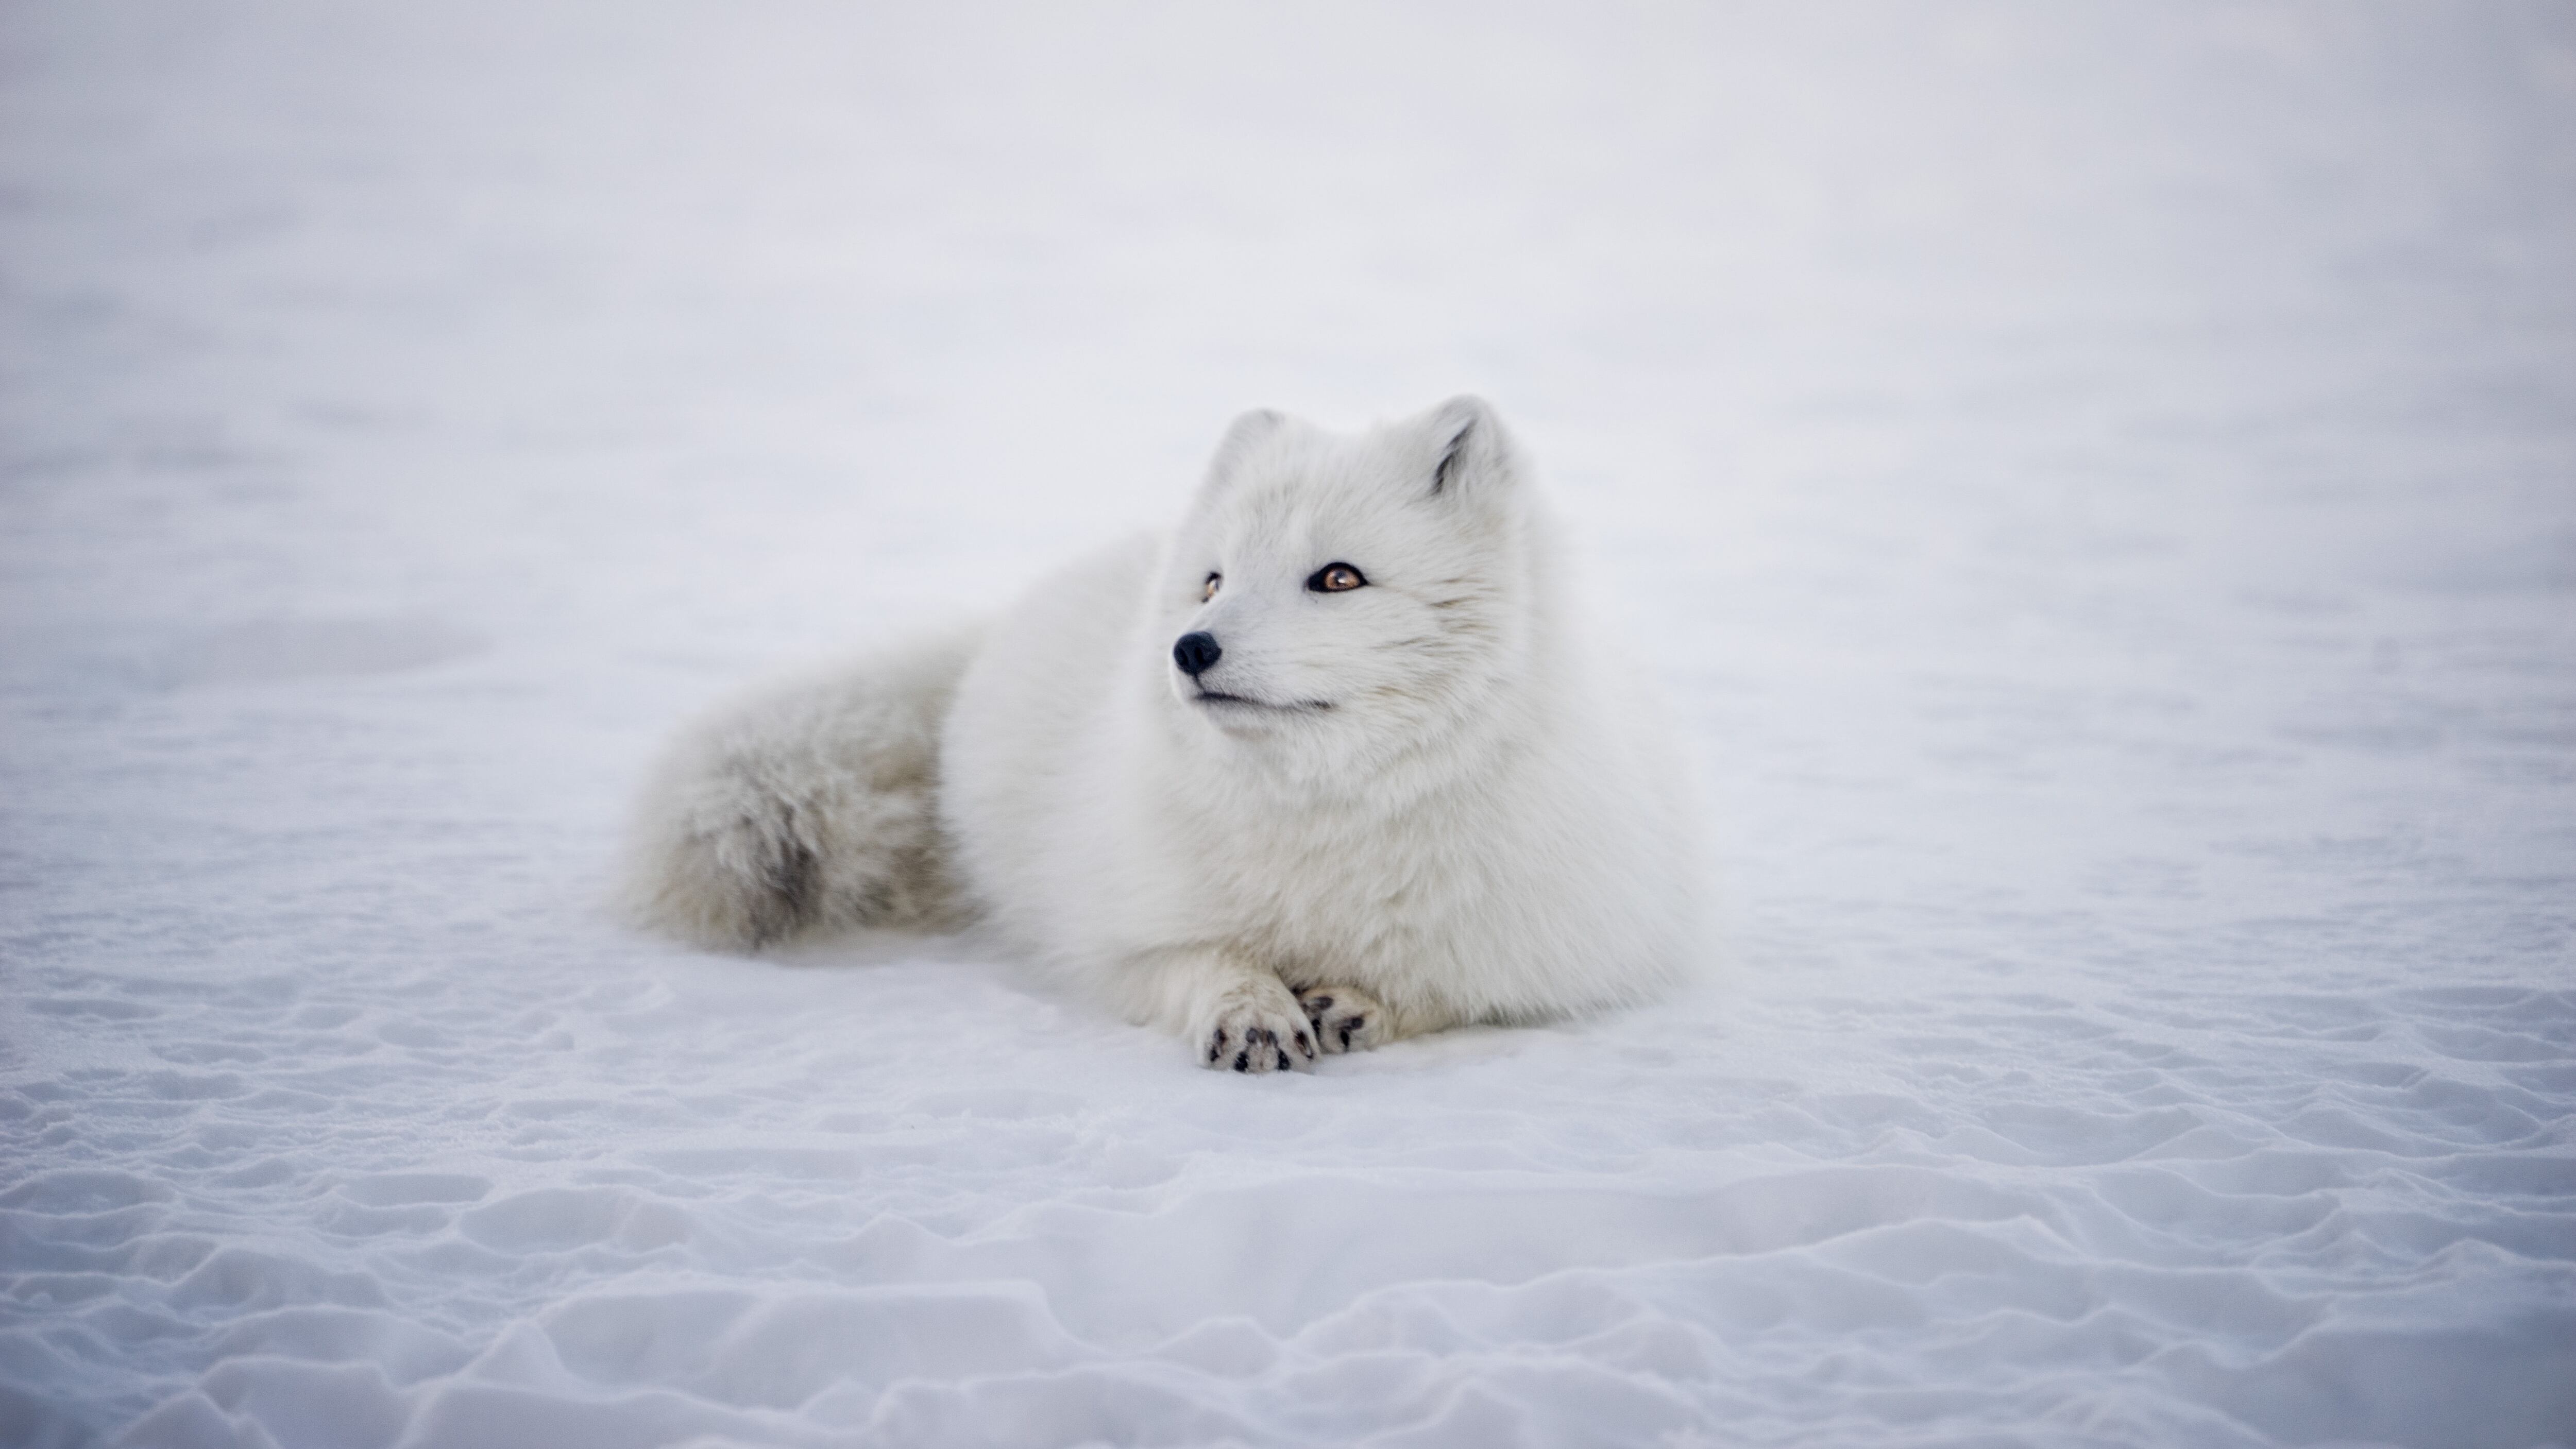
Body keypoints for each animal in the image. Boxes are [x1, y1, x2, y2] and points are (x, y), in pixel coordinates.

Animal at [625, 397, 1701, 1072]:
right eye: (1214, 580)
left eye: (1339, 577)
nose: (1190, 647)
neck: (1327, 817)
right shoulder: (1114, 935)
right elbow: (1199, 958)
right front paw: (1252, 1008)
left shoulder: (1562, 951)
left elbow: (1457, 989)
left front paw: (1362, 1002)